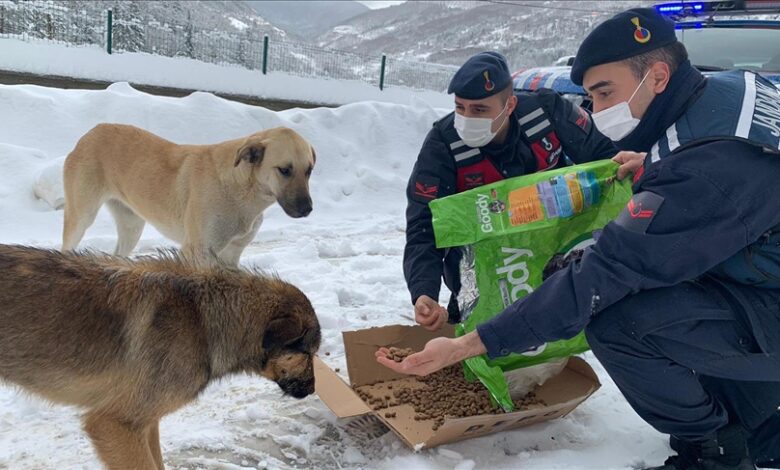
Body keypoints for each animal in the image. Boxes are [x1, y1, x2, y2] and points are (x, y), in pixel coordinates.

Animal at [61, 124, 316, 264]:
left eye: (309, 170)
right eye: (284, 170)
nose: (307, 209)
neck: (239, 189)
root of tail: (89, 133)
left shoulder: (232, 254)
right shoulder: (197, 252)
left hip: (132, 227)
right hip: (81, 218)